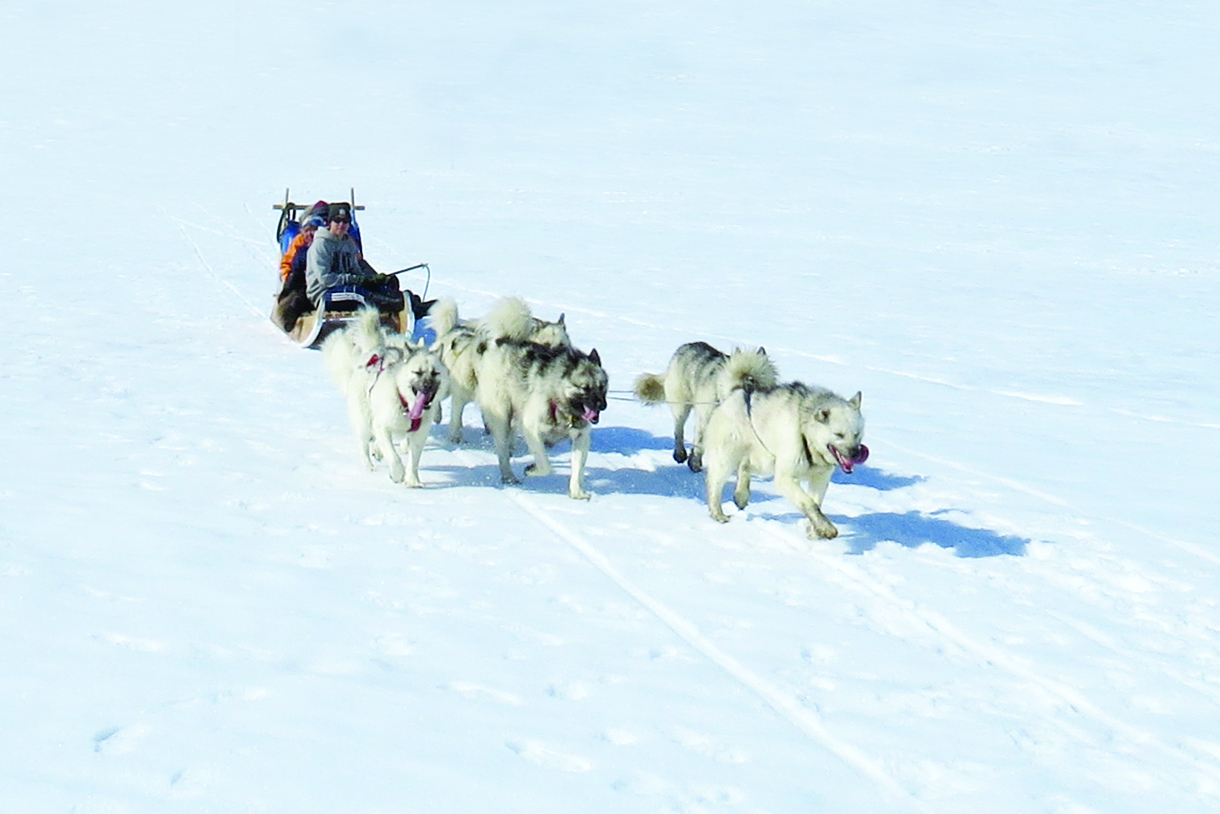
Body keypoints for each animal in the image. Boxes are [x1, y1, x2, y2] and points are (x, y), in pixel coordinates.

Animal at [322, 308, 451, 488]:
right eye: (417, 372)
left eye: (435, 373)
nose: (427, 386)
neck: (406, 405)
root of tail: (373, 352)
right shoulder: (382, 427)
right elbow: (394, 456)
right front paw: (397, 474)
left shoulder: (419, 435)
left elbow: (414, 460)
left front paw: (412, 480)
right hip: (364, 421)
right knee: (363, 445)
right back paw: (369, 466)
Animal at [429, 296, 570, 441]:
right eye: (546, 344)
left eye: (561, 344)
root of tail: (451, 331)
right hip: (458, 389)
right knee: (446, 405)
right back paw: (443, 421)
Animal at [475, 334, 610, 500]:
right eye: (585, 388)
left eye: (602, 386)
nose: (602, 405)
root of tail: (497, 343)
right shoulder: (531, 429)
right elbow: (545, 464)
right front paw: (532, 469)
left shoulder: (581, 437)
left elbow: (577, 468)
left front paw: (577, 491)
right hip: (501, 418)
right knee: (502, 451)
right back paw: (508, 476)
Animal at [634, 341, 775, 471]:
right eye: (738, 383)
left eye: (761, 385)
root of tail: (686, 346)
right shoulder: (705, 419)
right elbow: (700, 444)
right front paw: (695, 464)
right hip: (681, 407)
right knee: (679, 430)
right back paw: (680, 454)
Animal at [707, 383, 868, 541]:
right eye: (839, 435)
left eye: (856, 434)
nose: (856, 454)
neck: (807, 436)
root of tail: (735, 395)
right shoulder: (785, 478)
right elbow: (808, 502)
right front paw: (826, 528)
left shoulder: (820, 479)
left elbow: (816, 503)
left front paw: (814, 531)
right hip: (727, 459)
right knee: (715, 483)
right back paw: (717, 513)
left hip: (765, 461)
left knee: (745, 467)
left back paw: (741, 494)